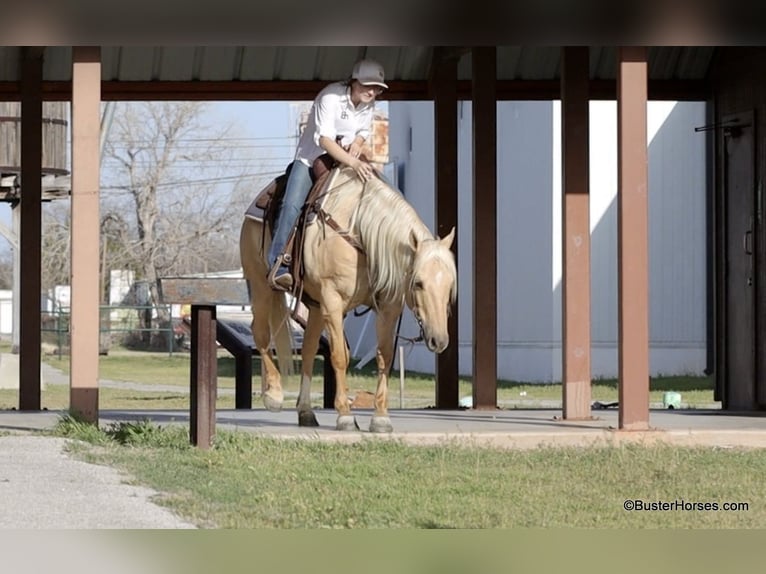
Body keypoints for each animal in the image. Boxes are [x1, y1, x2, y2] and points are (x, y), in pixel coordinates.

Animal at [239, 165, 457, 432]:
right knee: (260, 333)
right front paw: (345, 416)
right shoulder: (333, 301)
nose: (439, 339)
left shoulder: (388, 306)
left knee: (309, 349)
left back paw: (306, 412)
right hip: (261, 286)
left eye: (449, 285)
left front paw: (381, 418)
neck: (360, 233)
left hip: (315, 306)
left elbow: (385, 356)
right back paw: (274, 395)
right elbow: (339, 356)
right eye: (418, 283)